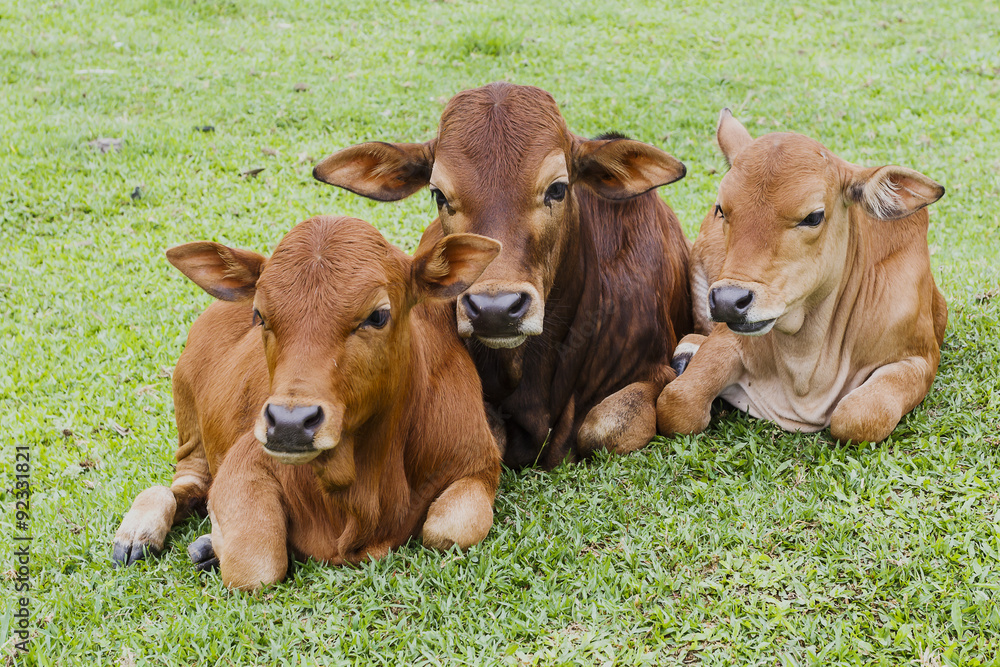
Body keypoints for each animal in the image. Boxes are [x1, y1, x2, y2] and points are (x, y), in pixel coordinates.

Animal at [112, 215, 502, 590]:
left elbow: (451, 530)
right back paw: (138, 534)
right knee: (183, 485)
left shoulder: (480, 462)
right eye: (260, 315)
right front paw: (214, 544)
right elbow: (254, 566)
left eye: (377, 315)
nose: (289, 423)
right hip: (189, 422)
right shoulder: (245, 460)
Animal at [656, 110, 947, 443]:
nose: (728, 301)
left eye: (813, 216)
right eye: (721, 209)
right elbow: (676, 403)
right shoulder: (728, 337)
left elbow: (857, 417)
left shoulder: (919, 357)